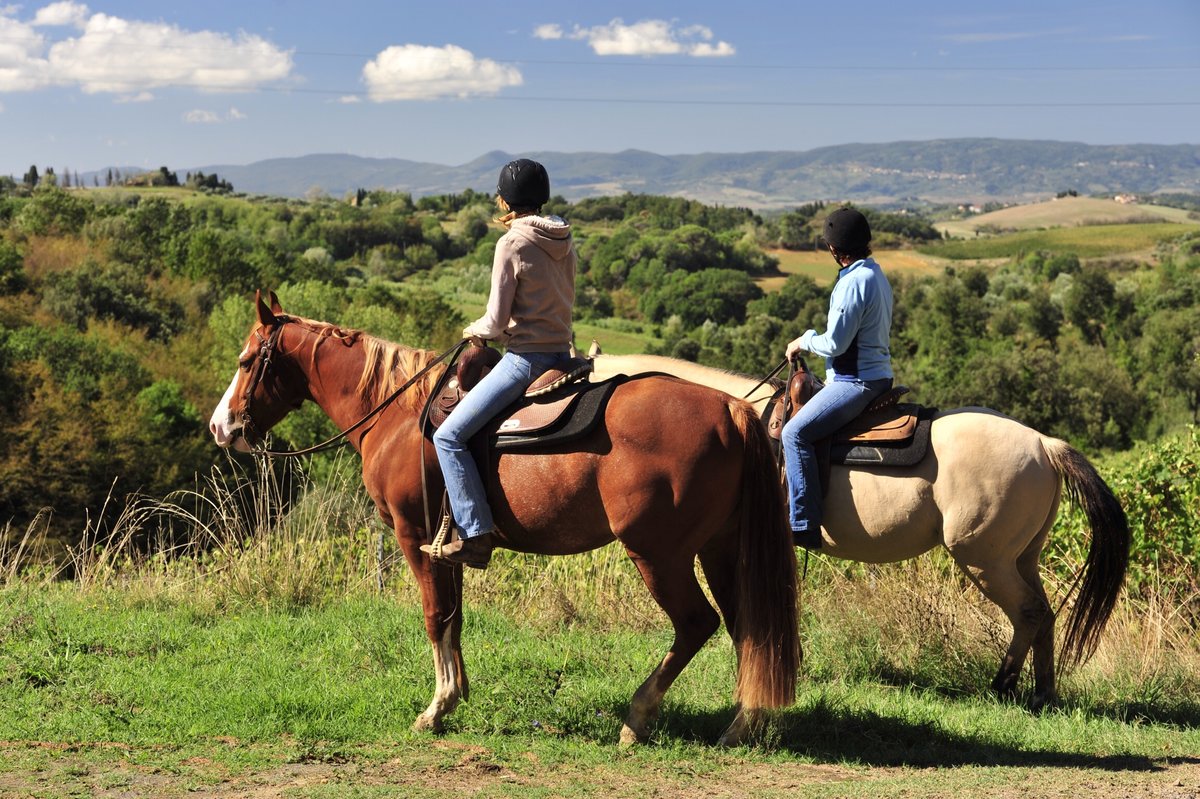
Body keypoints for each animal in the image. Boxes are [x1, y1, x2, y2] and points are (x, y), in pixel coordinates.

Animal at [211, 293, 801, 748]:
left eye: (246, 361)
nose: (222, 427)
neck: (396, 413)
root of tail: (731, 410)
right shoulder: (447, 546)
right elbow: (454, 617)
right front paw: (457, 694)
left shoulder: (412, 536)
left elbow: (435, 617)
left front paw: (436, 708)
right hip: (719, 548)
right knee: (749, 627)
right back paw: (741, 725)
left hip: (659, 553)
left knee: (697, 623)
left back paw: (638, 718)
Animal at [595, 352, 1128, 705]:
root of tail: (1044, 444)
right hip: (1022, 556)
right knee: (1045, 613)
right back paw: (1042, 693)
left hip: (985, 559)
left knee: (1029, 612)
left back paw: (1003, 685)